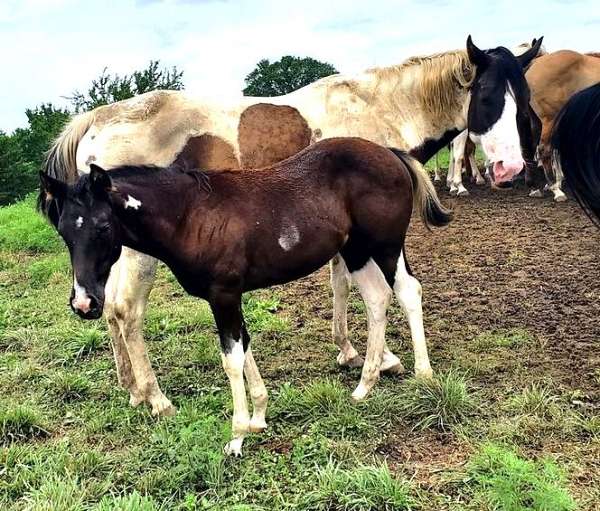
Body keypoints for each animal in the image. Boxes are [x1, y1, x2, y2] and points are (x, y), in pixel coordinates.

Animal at [38, 137, 450, 456]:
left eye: (103, 226)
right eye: (63, 232)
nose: (84, 303)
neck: (191, 215)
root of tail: (389, 152)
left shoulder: (223, 295)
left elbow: (231, 359)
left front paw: (236, 437)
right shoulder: (231, 297)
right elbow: (245, 345)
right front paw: (259, 417)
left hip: (385, 245)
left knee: (407, 291)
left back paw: (424, 374)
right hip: (356, 250)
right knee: (377, 299)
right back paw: (365, 386)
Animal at [39, 39, 540, 416]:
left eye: (525, 98)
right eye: (490, 96)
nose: (512, 167)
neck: (378, 107)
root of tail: (95, 119)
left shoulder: (344, 237)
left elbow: (344, 287)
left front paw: (354, 353)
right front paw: (383, 359)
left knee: (107, 309)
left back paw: (132, 389)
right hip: (136, 254)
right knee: (126, 310)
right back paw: (157, 398)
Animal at [524, 48, 600, 200]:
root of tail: (535, 62)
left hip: (537, 121)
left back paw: (536, 187)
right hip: (549, 119)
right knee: (544, 149)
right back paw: (555, 188)